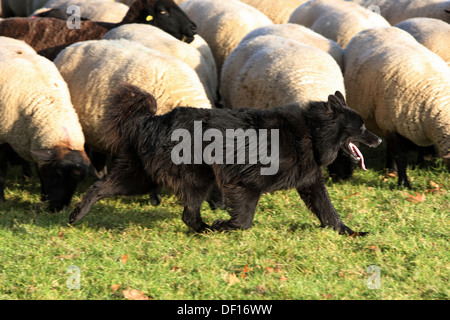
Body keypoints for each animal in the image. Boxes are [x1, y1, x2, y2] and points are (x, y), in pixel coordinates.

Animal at [68, 84, 382, 235]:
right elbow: (244, 220)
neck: (313, 132)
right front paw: (225, 226)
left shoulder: (310, 183)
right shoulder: (246, 184)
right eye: (361, 128)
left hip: (140, 177)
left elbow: (329, 212)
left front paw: (350, 233)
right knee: (189, 215)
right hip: (195, 178)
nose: (378, 140)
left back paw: (76, 214)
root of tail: (152, 120)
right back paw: (208, 229)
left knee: (99, 187)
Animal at [344, 26, 450, 188]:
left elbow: (421, 148)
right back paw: (391, 169)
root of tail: (375, 28)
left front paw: (419, 164)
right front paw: (403, 183)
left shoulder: (419, 126)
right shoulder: (391, 126)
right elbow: (400, 156)